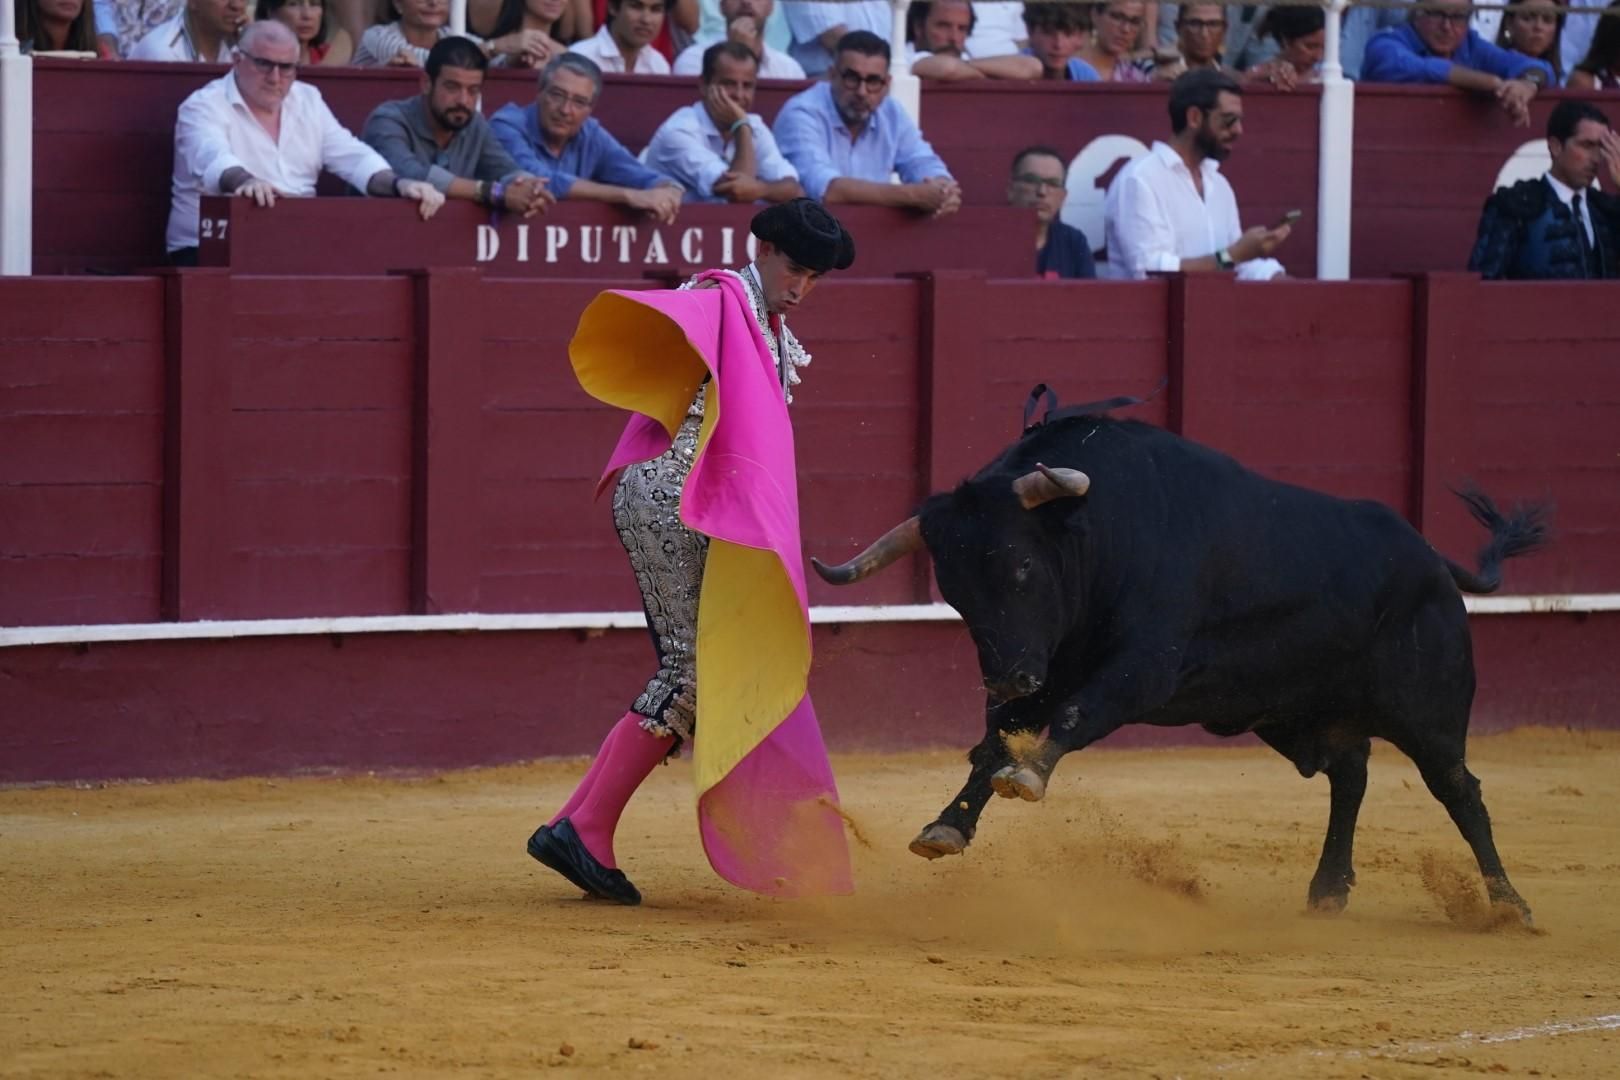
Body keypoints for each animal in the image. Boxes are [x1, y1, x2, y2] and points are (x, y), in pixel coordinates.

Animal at [816, 404, 1548, 919]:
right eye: (953, 589)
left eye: (1022, 566)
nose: (1005, 676)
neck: (1101, 535)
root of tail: (1431, 559)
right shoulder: (1045, 671)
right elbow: (991, 742)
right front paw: (947, 826)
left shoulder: (1142, 671)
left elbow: (1073, 717)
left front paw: (1030, 775)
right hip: (1304, 710)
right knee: (1351, 776)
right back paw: (1328, 889)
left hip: (1432, 712)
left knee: (1459, 789)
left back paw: (1509, 905)